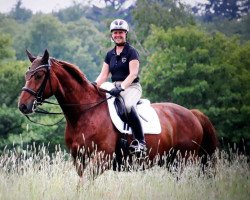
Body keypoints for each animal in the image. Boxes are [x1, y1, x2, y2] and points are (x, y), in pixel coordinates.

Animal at [18, 49, 217, 175]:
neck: (84, 114)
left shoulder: (100, 160)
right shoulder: (79, 160)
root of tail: (192, 114)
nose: (23, 106)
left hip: (184, 160)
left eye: (39, 76)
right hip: (172, 162)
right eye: (27, 75)